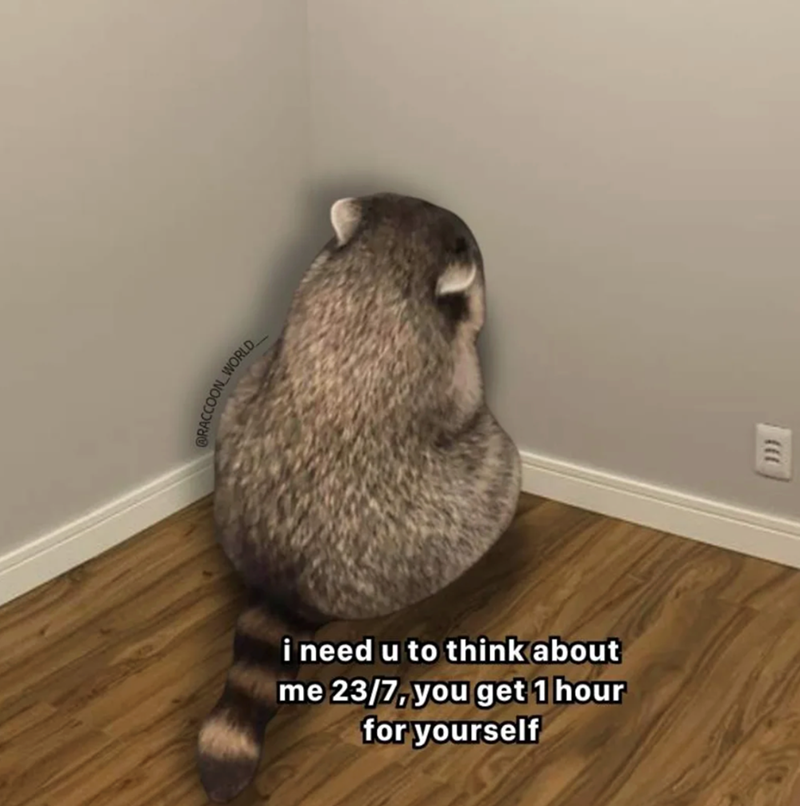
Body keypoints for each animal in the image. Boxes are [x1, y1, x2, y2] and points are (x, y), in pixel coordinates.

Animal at [197, 193, 521, 802]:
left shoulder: (305, 293)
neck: (379, 269)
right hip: (446, 525)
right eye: (465, 239)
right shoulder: (444, 357)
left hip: (238, 415)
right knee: (503, 468)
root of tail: (282, 582)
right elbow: (467, 382)